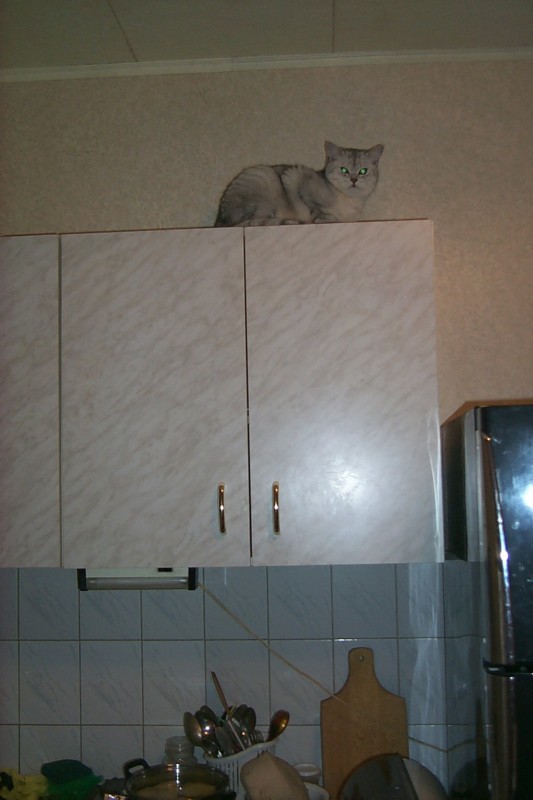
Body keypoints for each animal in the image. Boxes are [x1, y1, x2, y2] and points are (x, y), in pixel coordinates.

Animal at [214, 140, 384, 227]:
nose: (353, 180)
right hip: (265, 183)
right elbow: (316, 208)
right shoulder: (297, 176)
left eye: (363, 171)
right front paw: (325, 218)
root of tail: (220, 220)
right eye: (344, 169)